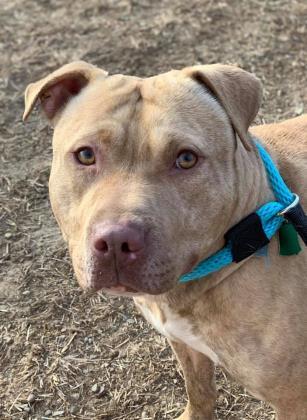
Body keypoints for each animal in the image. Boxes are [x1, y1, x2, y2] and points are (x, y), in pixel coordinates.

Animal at [24, 62, 307, 420]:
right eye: (85, 155)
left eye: (186, 159)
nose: (116, 241)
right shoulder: (184, 343)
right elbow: (199, 391)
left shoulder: (295, 401)